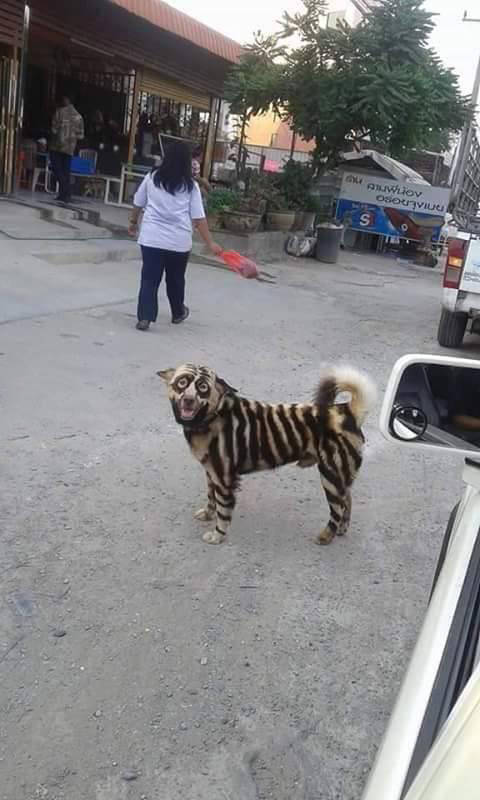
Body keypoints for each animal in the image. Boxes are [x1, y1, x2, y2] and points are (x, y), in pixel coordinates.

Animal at [158, 364, 376, 546]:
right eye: (182, 382)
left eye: (203, 387)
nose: (188, 400)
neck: (213, 415)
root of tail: (347, 410)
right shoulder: (211, 473)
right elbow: (211, 499)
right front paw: (208, 514)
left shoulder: (224, 479)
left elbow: (223, 512)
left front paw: (218, 535)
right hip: (340, 477)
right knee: (348, 501)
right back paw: (341, 529)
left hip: (330, 477)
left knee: (338, 508)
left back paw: (327, 535)